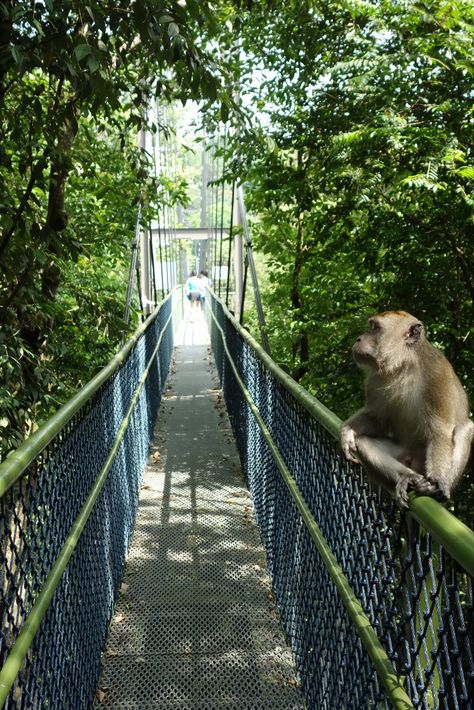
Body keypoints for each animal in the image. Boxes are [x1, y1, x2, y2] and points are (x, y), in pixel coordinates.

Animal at [340, 310, 474, 506]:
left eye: (374, 328)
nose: (358, 339)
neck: (404, 366)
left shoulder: (437, 376)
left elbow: (440, 432)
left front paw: (438, 482)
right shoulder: (375, 379)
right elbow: (377, 420)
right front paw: (347, 431)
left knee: (466, 427)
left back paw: (438, 489)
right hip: (404, 454)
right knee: (364, 441)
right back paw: (408, 477)